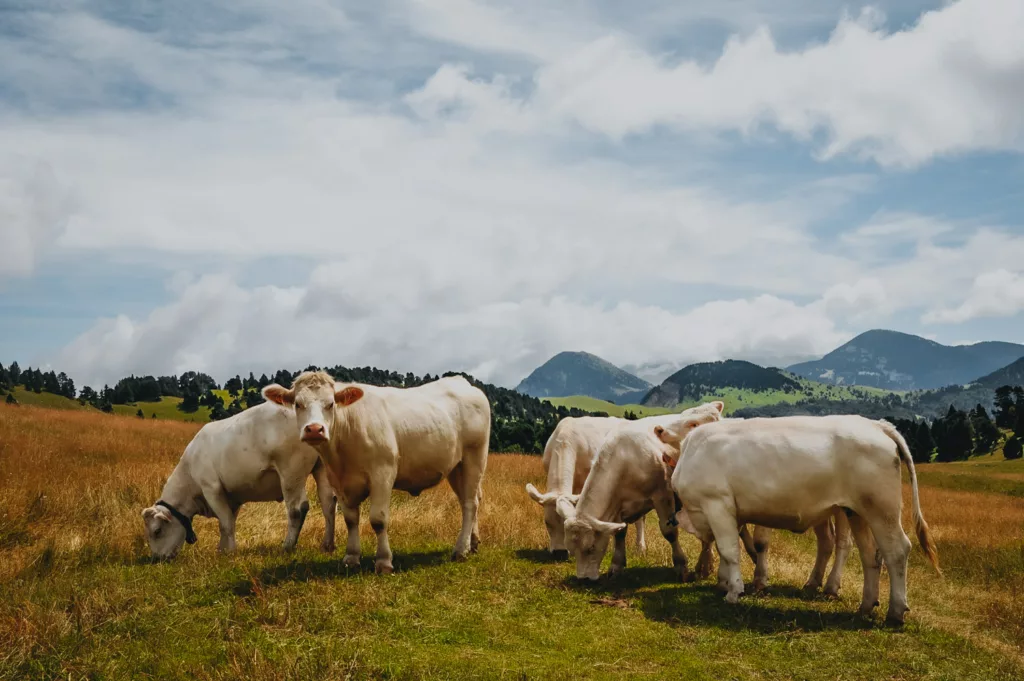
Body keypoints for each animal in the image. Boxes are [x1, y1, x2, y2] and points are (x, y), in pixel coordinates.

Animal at [141, 401, 337, 561]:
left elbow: (226, 523)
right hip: (322, 468)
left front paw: (230, 552)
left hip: (291, 472)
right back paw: (327, 545)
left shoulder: (212, 488)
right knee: (328, 503)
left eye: (157, 531)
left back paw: (287, 545)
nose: (157, 558)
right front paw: (222, 549)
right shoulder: (232, 497)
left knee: (297, 509)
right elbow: (228, 522)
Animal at [261, 370, 491, 574]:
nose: (315, 429)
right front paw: (351, 557)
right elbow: (350, 519)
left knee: (470, 503)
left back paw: (460, 550)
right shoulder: (338, 480)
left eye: (331, 404)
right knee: (469, 500)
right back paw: (473, 542)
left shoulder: (383, 474)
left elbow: (378, 520)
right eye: (298, 404)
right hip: (456, 467)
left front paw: (383, 561)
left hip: (474, 457)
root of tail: (462, 382)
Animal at [660, 414, 941, 624]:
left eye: (691, 421)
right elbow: (729, 549)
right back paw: (866, 605)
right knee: (870, 555)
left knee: (897, 551)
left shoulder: (717, 504)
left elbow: (729, 550)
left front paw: (734, 591)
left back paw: (895, 612)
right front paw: (724, 582)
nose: (659, 429)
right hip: (856, 512)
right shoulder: (732, 512)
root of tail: (876, 425)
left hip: (882, 510)